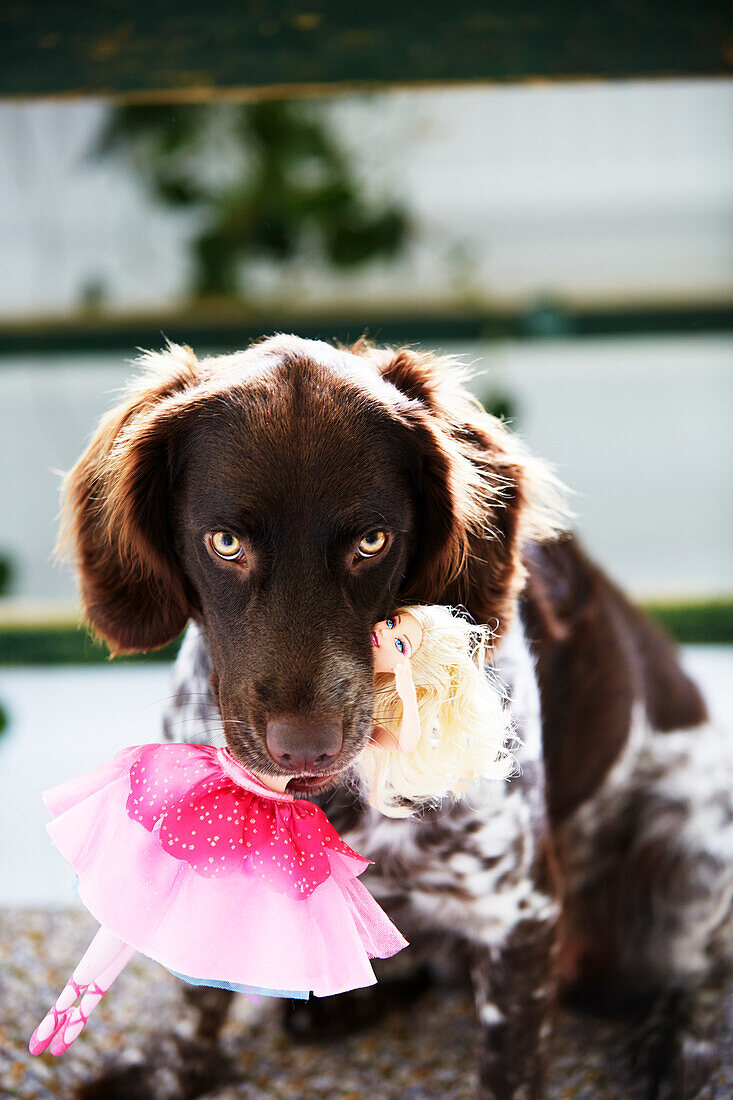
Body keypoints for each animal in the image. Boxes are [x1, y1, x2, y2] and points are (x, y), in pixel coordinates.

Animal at [61, 336, 730, 1100]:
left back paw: (681, 1053)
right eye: (225, 543)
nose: (305, 749)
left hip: (687, 855)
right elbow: (194, 1000)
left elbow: (511, 1061)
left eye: (373, 541)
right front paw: (169, 1074)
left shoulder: (519, 913)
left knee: (700, 975)